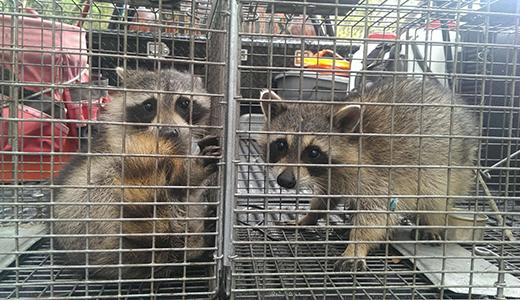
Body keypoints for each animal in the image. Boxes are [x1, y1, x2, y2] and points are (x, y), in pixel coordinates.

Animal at [50, 68, 217, 278]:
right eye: (149, 105)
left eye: (184, 103)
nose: (169, 132)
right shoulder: (130, 147)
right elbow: (178, 183)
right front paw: (191, 171)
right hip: (87, 214)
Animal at [258, 78, 478, 272]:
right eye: (280, 145)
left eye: (313, 152)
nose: (285, 180)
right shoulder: (332, 177)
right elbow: (326, 197)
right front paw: (310, 216)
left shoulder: (375, 173)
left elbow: (376, 213)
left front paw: (357, 246)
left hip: (451, 168)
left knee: (435, 197)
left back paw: (432, 224)